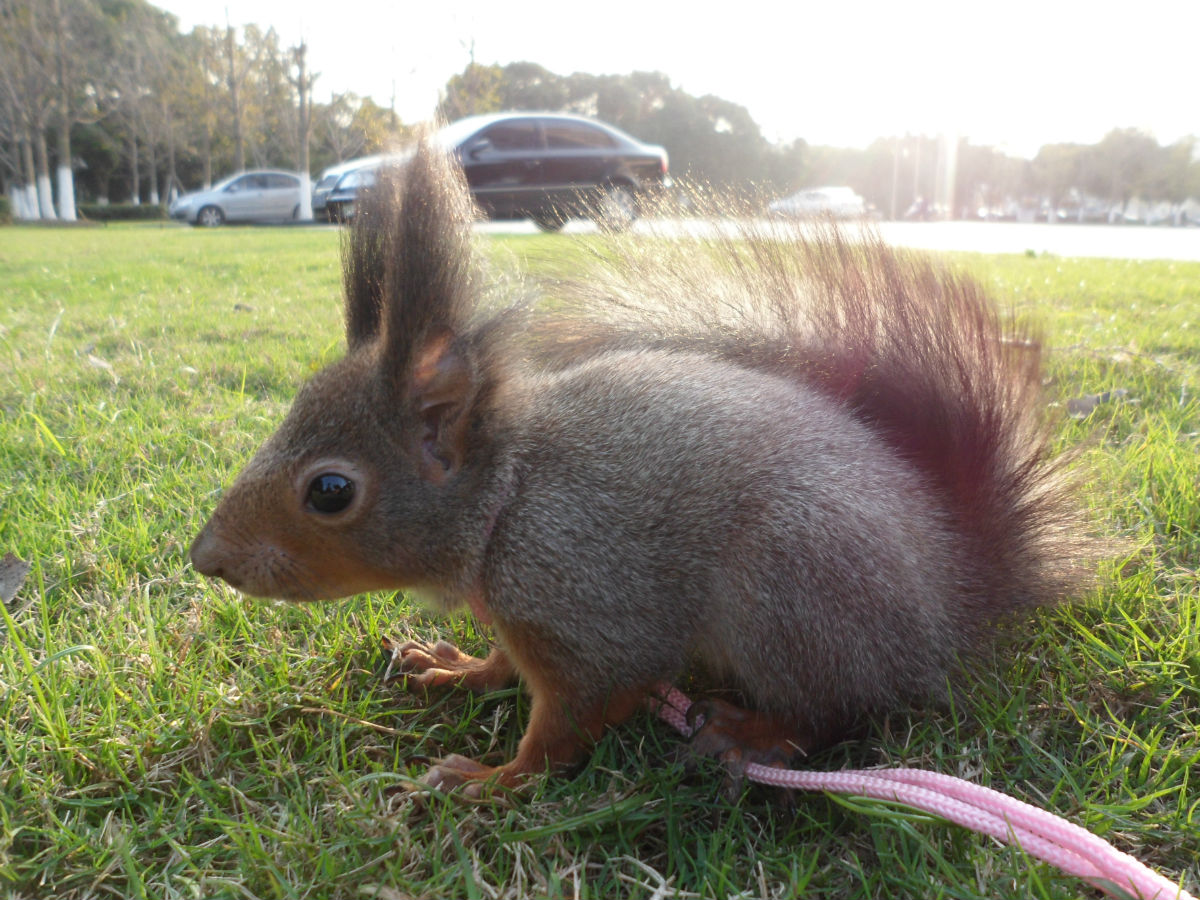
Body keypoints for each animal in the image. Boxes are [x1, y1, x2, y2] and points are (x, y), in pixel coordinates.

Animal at [192, 141, 1099, 796]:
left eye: (331, 491)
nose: (207, 559)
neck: (507, 501)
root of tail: (957, 588)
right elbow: (507, 667)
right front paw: (460, 669)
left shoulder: (593, 607)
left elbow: (570, 720)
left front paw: (491, 780)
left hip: (792, 582)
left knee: (842, 708)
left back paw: (753, 731)